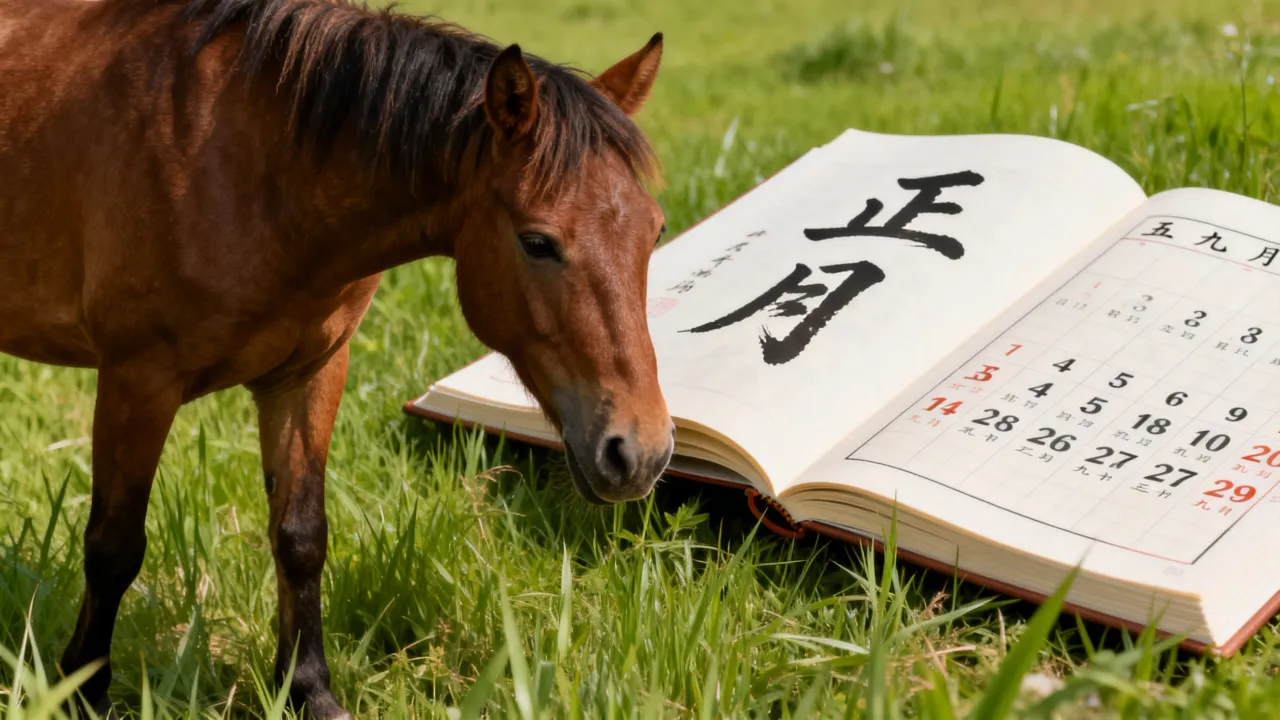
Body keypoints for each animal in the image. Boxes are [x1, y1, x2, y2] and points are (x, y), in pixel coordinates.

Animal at [0, 0, 674, 715]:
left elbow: (300, 537)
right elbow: (113, 548)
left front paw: (307, 689)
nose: (640, 451)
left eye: (654, 229)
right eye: (538, 242)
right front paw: (81, 692)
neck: (246, 165)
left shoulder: (309, 375)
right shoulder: (138, 378)